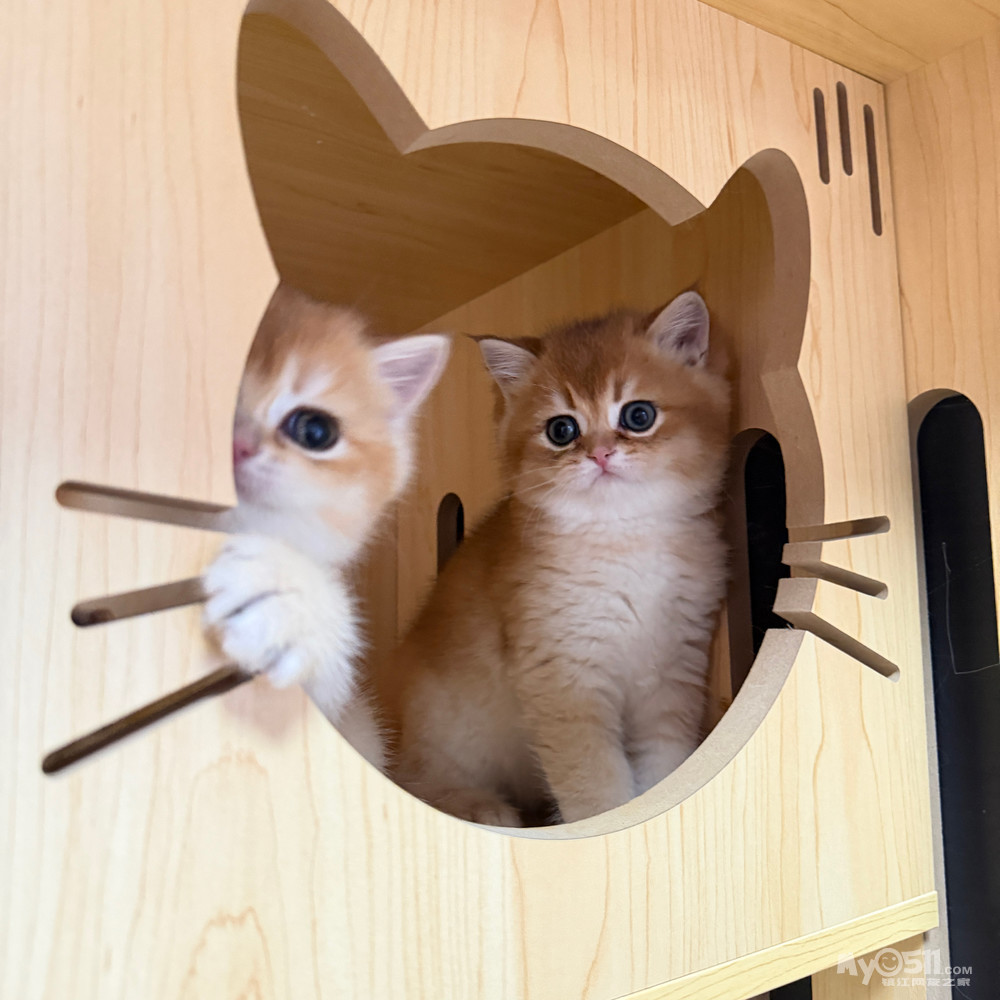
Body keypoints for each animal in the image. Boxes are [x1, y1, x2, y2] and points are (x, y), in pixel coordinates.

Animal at [379, 291, 731, 825]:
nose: (600, 454)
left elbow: (662, 770)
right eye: (562, 429)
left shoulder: (670, 678)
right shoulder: (564, 678)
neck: (625, 539)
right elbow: (595, 786)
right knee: (415, 780)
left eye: (638, 416)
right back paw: (480, 807)